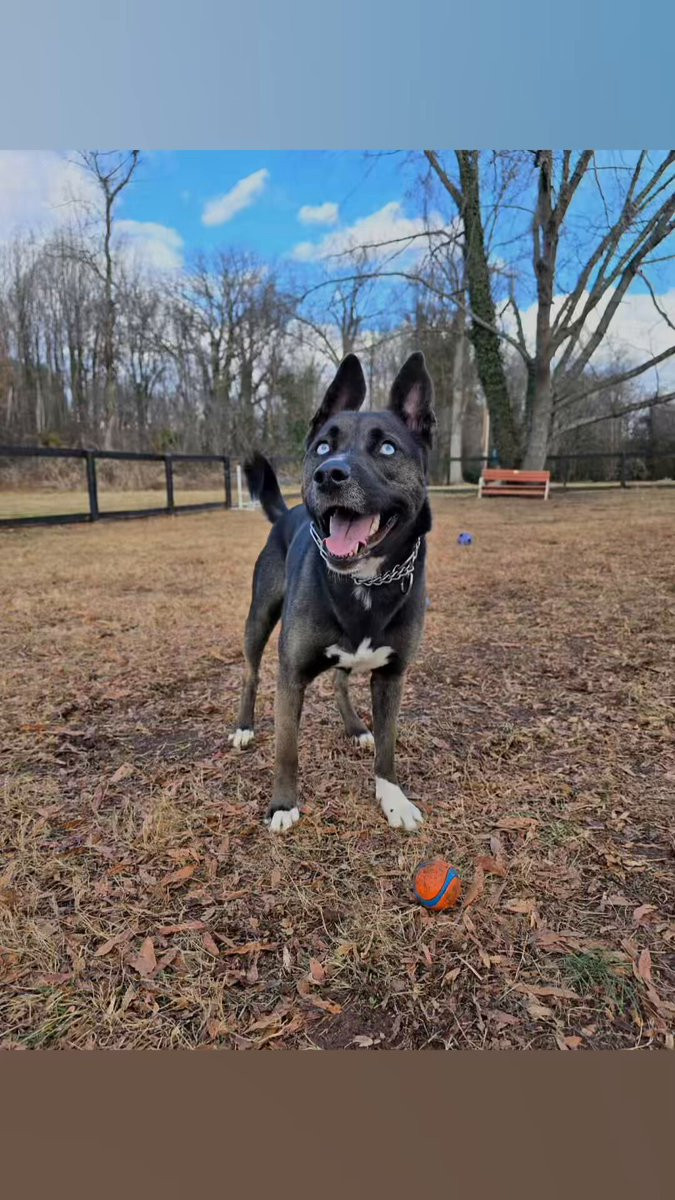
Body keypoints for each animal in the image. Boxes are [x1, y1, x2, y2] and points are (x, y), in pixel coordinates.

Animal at [230, 351, 436, 833]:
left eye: (387, 448)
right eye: (323, 446)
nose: (329, 474)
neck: (364, 582)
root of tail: (286, 513)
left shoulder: (392, 676)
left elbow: (388, 747)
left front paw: (392, 797)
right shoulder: (290, 676)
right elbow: (286, 749)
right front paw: (283, 804)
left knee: (342, 682)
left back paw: (356, 726)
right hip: (259, 618)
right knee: (250, 673)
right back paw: (245, 726)